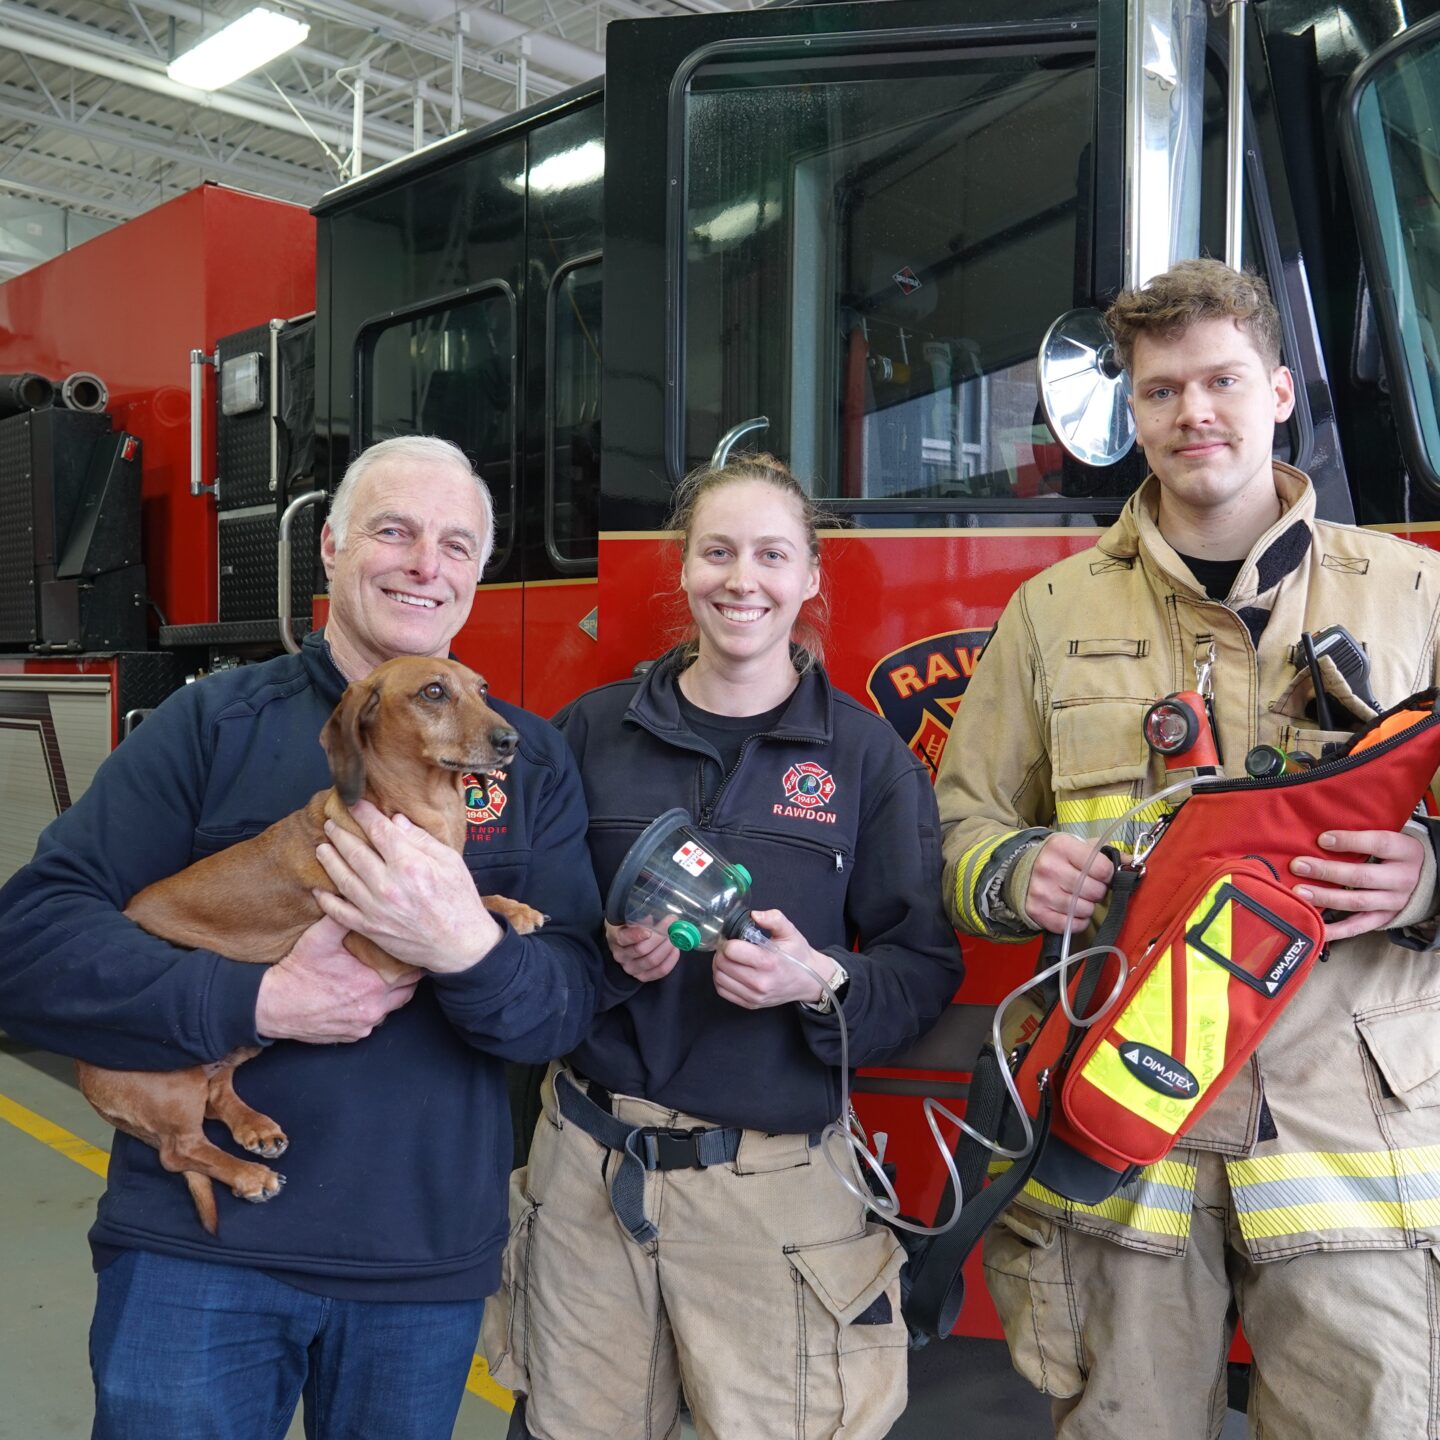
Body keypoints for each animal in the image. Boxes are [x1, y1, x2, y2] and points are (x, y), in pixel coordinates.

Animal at [76, 656, 544, 1234]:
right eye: (433, 692)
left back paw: (253, 1128)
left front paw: (514, 909)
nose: (511, 740)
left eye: (482, 689)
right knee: (178, 1148)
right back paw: (247, 1174)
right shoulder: (383, 947)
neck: (416, 812)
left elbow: (473, 895)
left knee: (216, 1095)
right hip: (175, 1069)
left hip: (248, 1039)